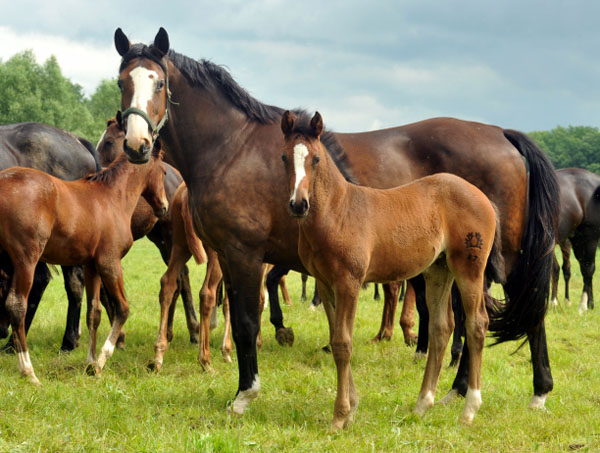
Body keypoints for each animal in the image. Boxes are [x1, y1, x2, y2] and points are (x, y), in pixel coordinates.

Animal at [0, 146, 166, 382]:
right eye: (164, 172)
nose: (164, 206)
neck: (112, 197)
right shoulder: (110, 263)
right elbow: (123, 309)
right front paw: (101, 362)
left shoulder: (91, 267)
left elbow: (93, 313)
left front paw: (90, 362)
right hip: (26, 260)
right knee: (17, 305)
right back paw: (28, 371)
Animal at [280, 111, 502, 430]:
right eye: (285, 157)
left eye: (317, 159)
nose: (298, 204)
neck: (338, 212)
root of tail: (482, 196)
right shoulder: (324, 284)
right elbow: (335, 339)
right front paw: (352, 407)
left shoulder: (349, 282)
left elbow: (343, 343)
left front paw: (340, 416)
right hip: (438, 270)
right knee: (441, 327)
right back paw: (422, 404)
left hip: (469, 268)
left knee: (477, 324)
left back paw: (469, 410)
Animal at [552, 168, 600, 312]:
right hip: (577, 241)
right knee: (583, 267)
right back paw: (589, 304)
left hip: (589, 237)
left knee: (587, 268)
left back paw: (582, 305)